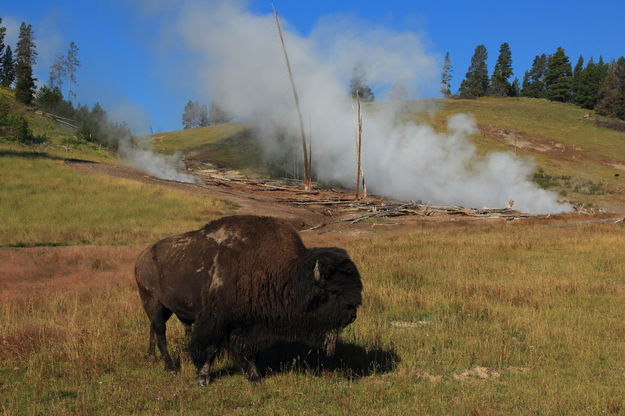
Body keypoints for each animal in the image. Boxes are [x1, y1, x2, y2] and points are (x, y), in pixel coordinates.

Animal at [134, 214, 364, 384]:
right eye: (333, 292)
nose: (352, 316)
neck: (286, 273)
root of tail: (142, 257)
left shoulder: (251, 324)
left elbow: (249, 351)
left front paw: (254, 377)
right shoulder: (214, 321)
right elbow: (209, 348)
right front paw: (203, 378)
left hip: (164, 308)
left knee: (153, 329)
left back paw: (150, 357)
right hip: (152, 302)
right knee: (160, 332)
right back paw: (170, 367)